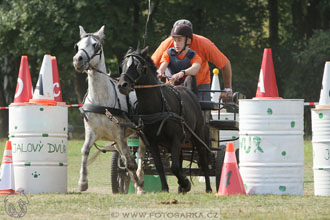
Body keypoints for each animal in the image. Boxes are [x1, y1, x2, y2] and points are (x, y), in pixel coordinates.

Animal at [73, 25, 145, 194]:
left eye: (95, 45)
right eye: (78, 45)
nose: (78, 60)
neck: (101, 100)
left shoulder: (119, 134)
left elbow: (130, 162)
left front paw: (139, 185)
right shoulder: (92, 132)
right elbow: (85, 151)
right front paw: (82, 182)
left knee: (141, 155)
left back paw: (140, 181)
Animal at [117, 46, 213, 192]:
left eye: (137, 66)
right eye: (122, 65)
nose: (122, 85)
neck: (155, 106)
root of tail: (189, 91)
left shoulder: (175, 138)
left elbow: (174, 167)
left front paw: (186, 183)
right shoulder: (152, 142)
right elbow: (160, 166)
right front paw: (165, 188)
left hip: (198, 135)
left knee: (203, 158)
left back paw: (208, 188)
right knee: (180, 158)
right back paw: (181, 187)